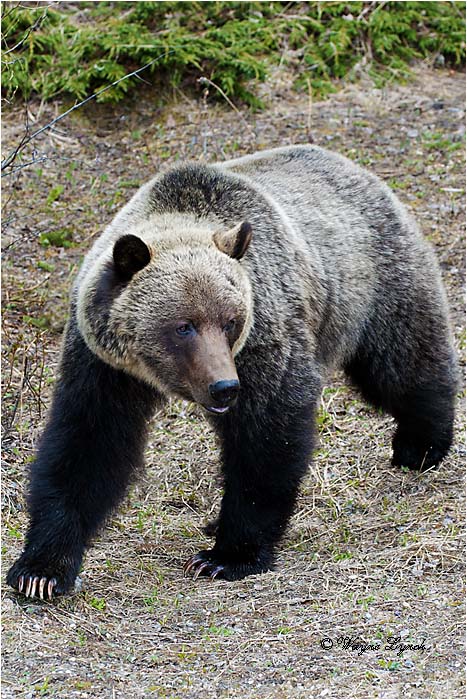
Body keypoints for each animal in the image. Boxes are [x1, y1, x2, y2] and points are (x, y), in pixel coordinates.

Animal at [7, 145, 458, 600]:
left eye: (230, 321)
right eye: (183, 325)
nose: (224, 387)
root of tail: (354, 167)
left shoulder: (264, 341)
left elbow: (267, 436)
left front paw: (226, 556)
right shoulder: (104, 364)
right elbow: (88, 444)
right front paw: (41, 570)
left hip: (373, 285)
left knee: (402, 362)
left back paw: (420, 445)